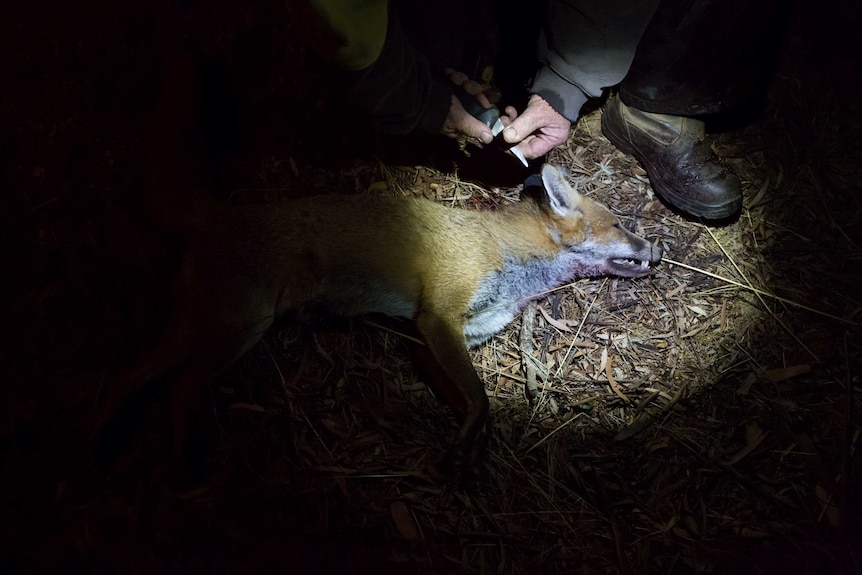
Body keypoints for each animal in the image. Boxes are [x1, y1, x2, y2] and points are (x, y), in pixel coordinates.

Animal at [93, 162, 660, 468]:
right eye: (619, 224)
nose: (656, 250)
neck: (506, 256)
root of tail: (224, 213)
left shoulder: (435, 337)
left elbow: (473, 402)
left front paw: (470, 444)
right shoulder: (437, 316)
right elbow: (480, 400)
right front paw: (465, 448)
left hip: (204, 326)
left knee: (125, 379)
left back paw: (101, 444)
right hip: (239, 328)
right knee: (176, 388)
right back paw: (178, 460)